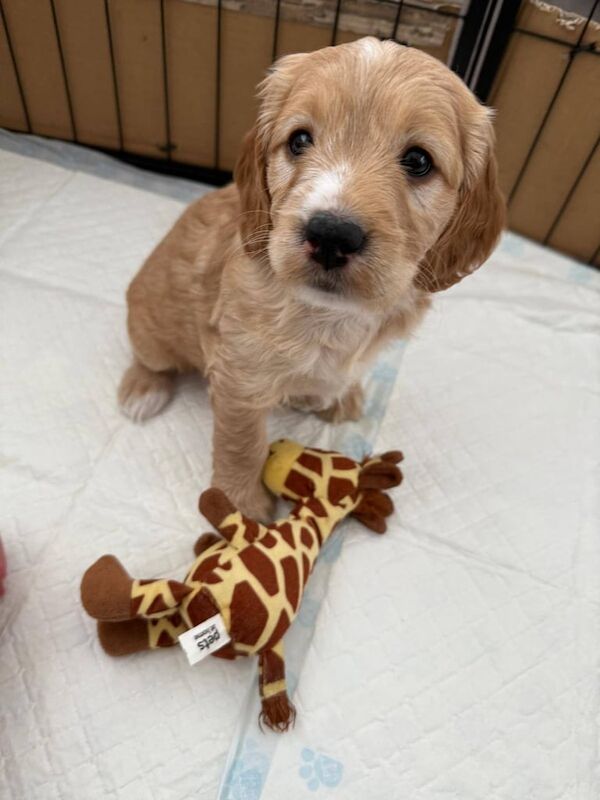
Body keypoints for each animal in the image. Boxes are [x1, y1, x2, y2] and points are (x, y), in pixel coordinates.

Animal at [116, 37, 502, 520]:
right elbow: (241, 444)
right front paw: (241, 508)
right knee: (149, 357)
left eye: (418, 160)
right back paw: (142, 390)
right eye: (299, 140)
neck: (330, 314)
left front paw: (341, 396)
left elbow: (346, 372)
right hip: (151, 326)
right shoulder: (240, 376)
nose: (332, 235)